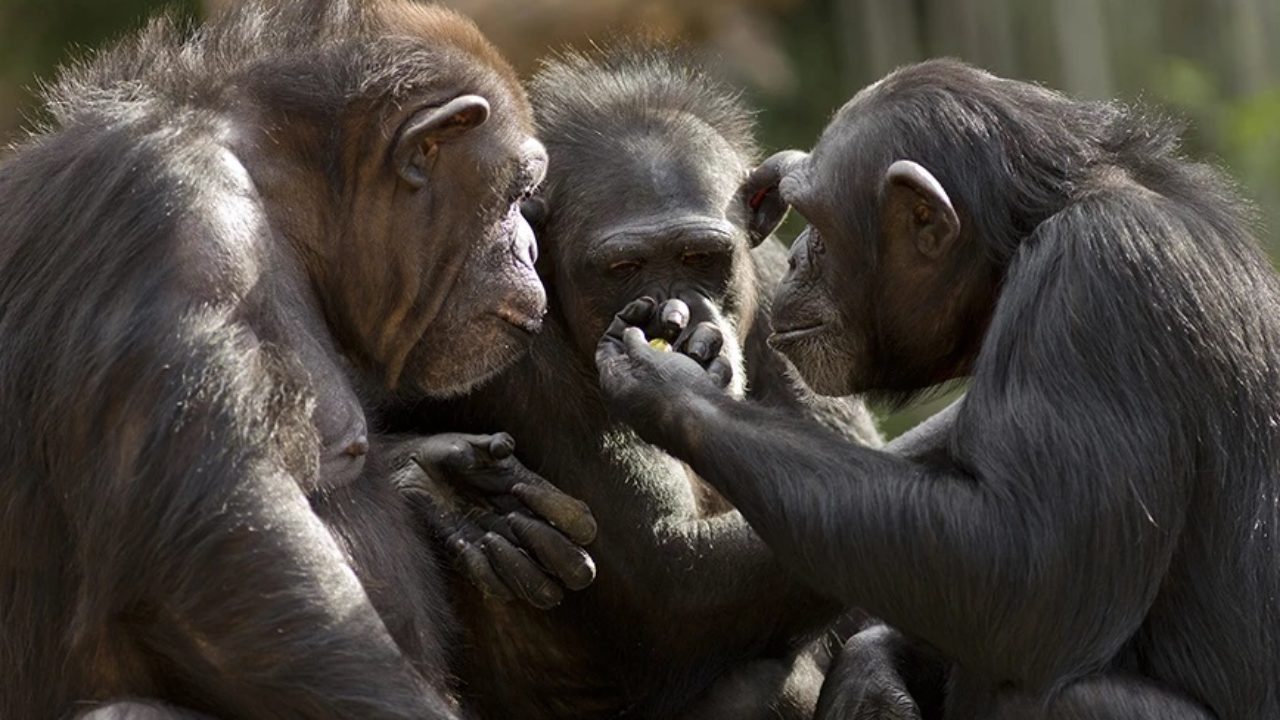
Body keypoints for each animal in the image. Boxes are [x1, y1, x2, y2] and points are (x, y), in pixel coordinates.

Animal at [0, 2, 596, 712]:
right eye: (516, 194)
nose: (530, 247)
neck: (279, 195)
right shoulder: (178, 226)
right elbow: (232, 560)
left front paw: (443, 487)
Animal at [396, 47, 880, 712]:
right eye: (623, 267)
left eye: (700, 257)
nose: (674, 316)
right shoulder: (512, 356)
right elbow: (668, 573)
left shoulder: (784, 288)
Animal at [593, 58, 1274, 712]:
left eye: (818, 225)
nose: (795, 254)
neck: (1023, 238)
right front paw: (872, 676)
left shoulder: (1097, 281)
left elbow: (1031, 569)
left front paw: (673, 385)